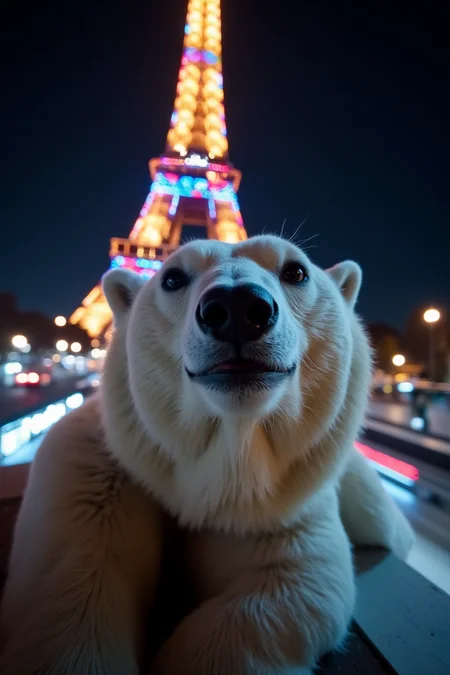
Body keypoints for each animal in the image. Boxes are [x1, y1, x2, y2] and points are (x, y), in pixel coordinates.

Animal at [0, 235, 414, 675]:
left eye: (296, 271)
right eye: (172, 278)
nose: (237, 309)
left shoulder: (281, 497)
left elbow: (297, 580)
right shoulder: (96, 468)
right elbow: (73, 589)